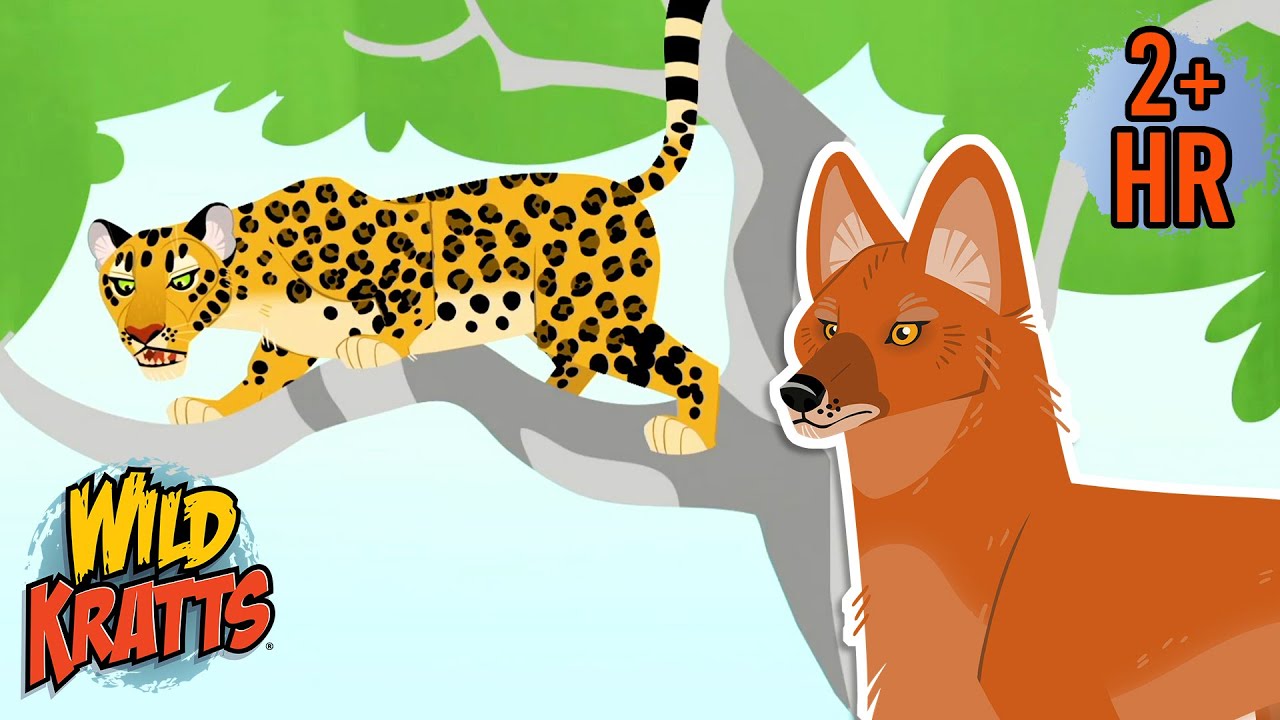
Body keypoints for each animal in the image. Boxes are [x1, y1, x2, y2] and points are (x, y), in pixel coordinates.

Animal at [86, 1, 717, 455]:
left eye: (183, 278)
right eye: (121, 285)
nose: (141, 334)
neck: (255, 293)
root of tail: (621, 186)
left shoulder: (397, 254)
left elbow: (412, 299)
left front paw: (377, 346)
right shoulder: (284, 342)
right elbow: (259, 377)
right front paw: (213, 407)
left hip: (592, 316)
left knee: (690, 364)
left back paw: (686, 433)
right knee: (582, 366)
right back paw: (551, 399)